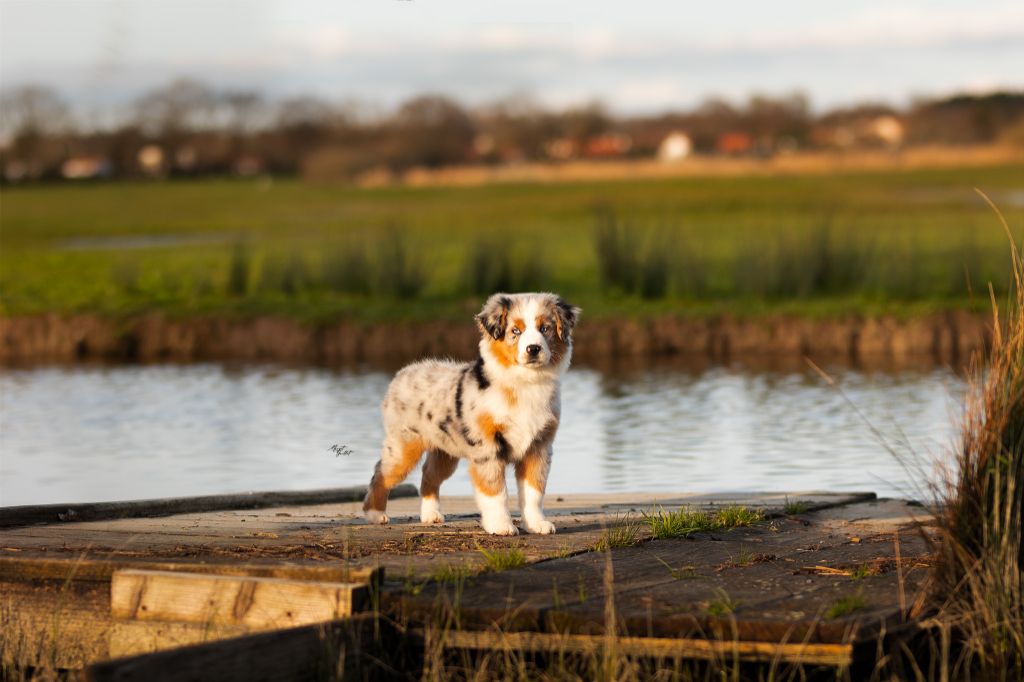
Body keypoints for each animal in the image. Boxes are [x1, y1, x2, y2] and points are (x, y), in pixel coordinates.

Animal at [364, 288, 581, 532]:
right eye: (515, 331)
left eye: (545, 328)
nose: (533, 349)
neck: (525, 382)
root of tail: (403, 372)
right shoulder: (486, 446)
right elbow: (496, 491)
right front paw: (501, 526)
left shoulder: (539, 446)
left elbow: (534, 491)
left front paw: (537, 524)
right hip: (404, 447)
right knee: (381, 472)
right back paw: (375, 514)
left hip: (445, 452)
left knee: (428, 475)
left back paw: (431, 515)